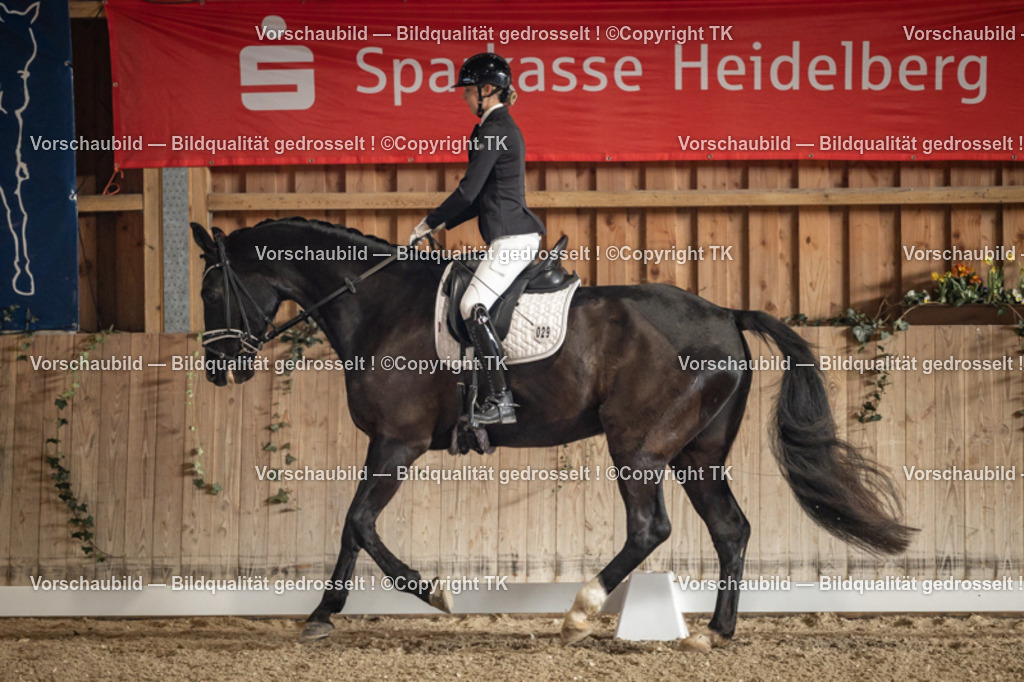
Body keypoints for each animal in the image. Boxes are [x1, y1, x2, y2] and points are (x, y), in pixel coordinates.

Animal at [190, 217, 914, 646]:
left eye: (210, 291)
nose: (220, 369)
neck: (379, 304)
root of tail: (724, 313)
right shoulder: (384, 446)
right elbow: (351, 526)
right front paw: (323, 614)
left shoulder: (398, 442)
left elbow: (359, 523)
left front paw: (430, 594)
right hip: (696, 455)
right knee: (730, 529)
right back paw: (714, 631)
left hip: (639, 448)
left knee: (652, 528)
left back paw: (581, 611)